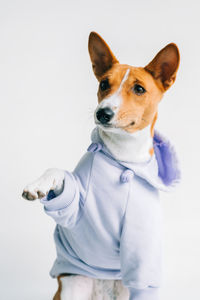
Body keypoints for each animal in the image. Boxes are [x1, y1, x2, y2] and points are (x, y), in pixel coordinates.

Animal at [22, 31, 180, 298]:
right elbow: (59, 174)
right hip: (73, 286)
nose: (102, 113)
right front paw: (39, 185)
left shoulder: (143, 253)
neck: (123, 157)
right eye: (104, 84)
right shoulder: (76, 211)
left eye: (139, 89)